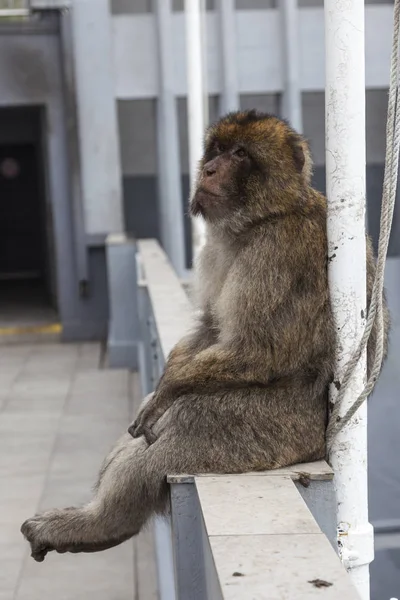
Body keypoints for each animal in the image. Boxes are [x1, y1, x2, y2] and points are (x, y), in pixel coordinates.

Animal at [20, 111, 390, 564]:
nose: (210, 169)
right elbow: (211, 328)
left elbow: (255, 351)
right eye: (216, 150)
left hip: (276, 431)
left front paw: (167, 390)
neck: (262, 219)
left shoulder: (278, 249)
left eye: (240, 154)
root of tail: (318, 446)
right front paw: (162, 385)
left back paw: (104, 523)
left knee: (189, 421)